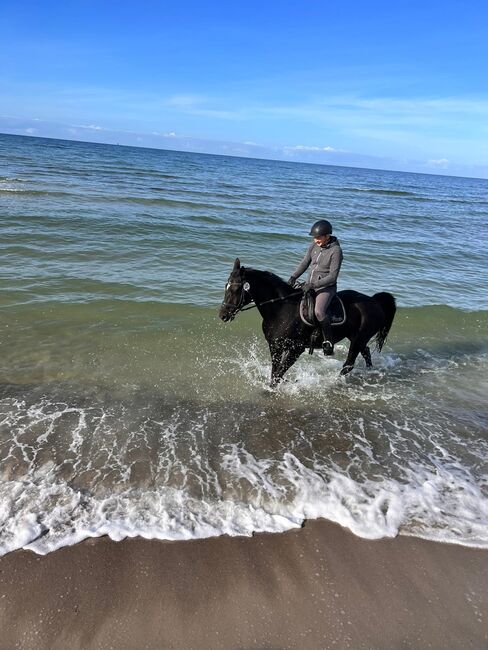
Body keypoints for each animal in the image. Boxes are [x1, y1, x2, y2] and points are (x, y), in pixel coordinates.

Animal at [221, 256, 396, 384]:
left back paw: (333, 381)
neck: (282, 310)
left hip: (358, 339)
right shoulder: (275, 346)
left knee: (349, 364)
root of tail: (374, 301)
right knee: (366, 352)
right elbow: (275, 372)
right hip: (356, 337)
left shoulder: (296, 349)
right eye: (226, 285)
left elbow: (278, 373)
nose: (223, 314)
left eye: (236, 288)